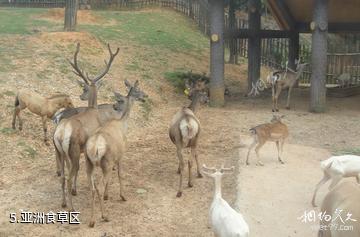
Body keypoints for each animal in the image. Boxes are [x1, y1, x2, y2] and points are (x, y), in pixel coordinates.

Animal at [53, 42, 119, 211]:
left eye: (84, 89)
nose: (81, 96)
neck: (93, 110)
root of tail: (60, 134)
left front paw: (76, 190)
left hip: (59, 151)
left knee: (63, 176)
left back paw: (63, 202)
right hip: (74, 149)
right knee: (69, 176)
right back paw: (71, 208)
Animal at [84, 80, 146, 228]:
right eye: (138, 89)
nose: (145, 97)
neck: (123, 123)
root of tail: (94, 147)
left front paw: (107, 196)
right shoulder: (121, 154)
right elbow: (120, 174)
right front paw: (123, 196)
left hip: (89, 163)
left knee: (93, 188)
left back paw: (92, 220)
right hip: (106, 161)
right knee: (99, 187)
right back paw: (104, 216)